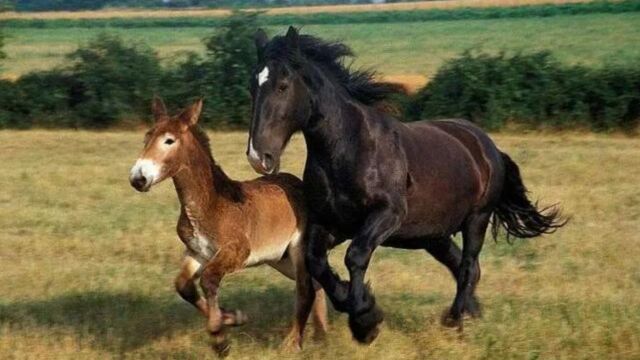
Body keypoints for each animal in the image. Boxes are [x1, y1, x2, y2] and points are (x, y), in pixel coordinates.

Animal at [245, 27, 564, 344]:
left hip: (477, 219)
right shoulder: (330, 223)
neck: (349, 148)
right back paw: (470, 314)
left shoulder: (387, 215)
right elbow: (317, 263)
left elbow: (355, 256)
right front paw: (359, 305)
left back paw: (456, 321)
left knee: (467, 267)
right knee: (463, 266)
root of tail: (488, 146)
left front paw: (365, 321)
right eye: (253, 87)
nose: (259, 157)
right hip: (434, 235)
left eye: (283, 86)